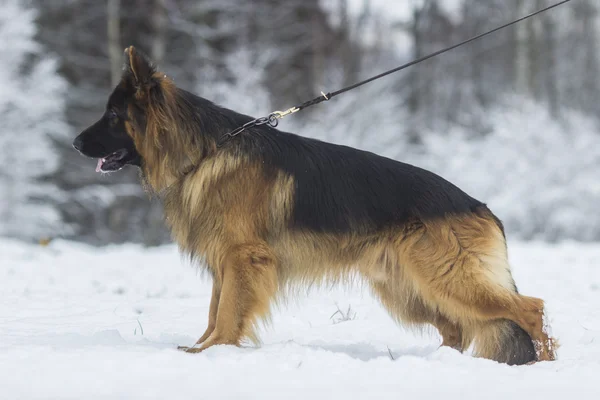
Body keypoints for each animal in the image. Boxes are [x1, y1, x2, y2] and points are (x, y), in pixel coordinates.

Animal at [74, 47, 556, 366]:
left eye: (113, 117)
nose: (74, 143)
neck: (207, 150)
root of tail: (481, 207)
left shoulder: (242, 258)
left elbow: (227, 312)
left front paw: (212, 353)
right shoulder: (224, 261)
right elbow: (214, 310)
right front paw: (201, 347)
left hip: (445, 278)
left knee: (531, 308)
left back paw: (546, 364)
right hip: (408, 287)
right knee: (456, 327)